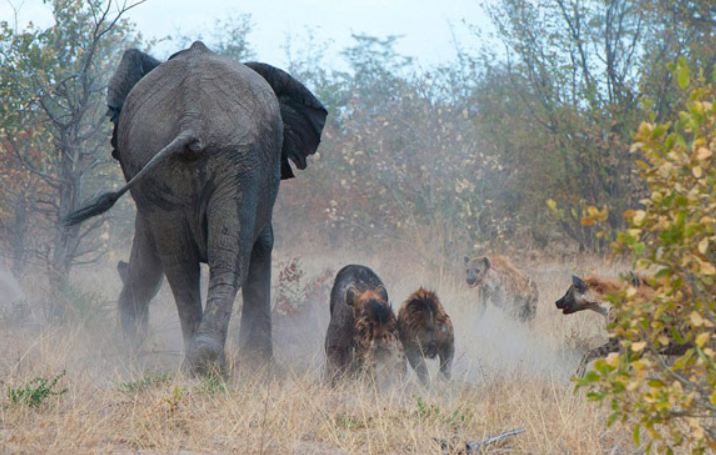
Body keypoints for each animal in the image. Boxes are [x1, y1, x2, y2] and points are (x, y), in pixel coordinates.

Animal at [64, 41, 328, 374]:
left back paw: (199, 363)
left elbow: (150, 259)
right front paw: (261, 369)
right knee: (225, 260)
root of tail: (192, 118)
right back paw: (209, 364)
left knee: (181, 264)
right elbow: (263, 244)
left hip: (168, 155)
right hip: (239, 161)